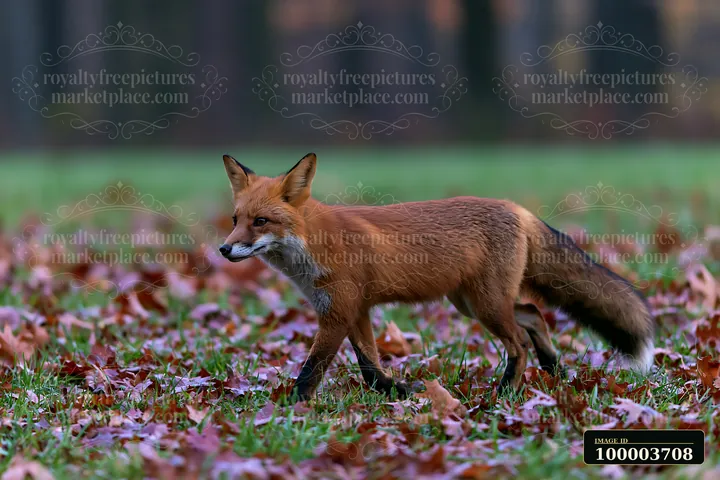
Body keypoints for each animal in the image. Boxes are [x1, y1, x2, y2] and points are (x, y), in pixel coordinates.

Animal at [219, 152, 655, 401]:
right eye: (236, 220)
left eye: (261, 222)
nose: (223, 250)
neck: (314, 244)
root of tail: (516, 207)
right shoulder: (355, 310)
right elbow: (371, 370)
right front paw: (401, 392)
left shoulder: (339, 312)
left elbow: (311, 371)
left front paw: (291, 408)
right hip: (472, 303)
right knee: (534, 314)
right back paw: (555, 370)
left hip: (486, 306)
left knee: (518, 342)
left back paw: (505, 394)